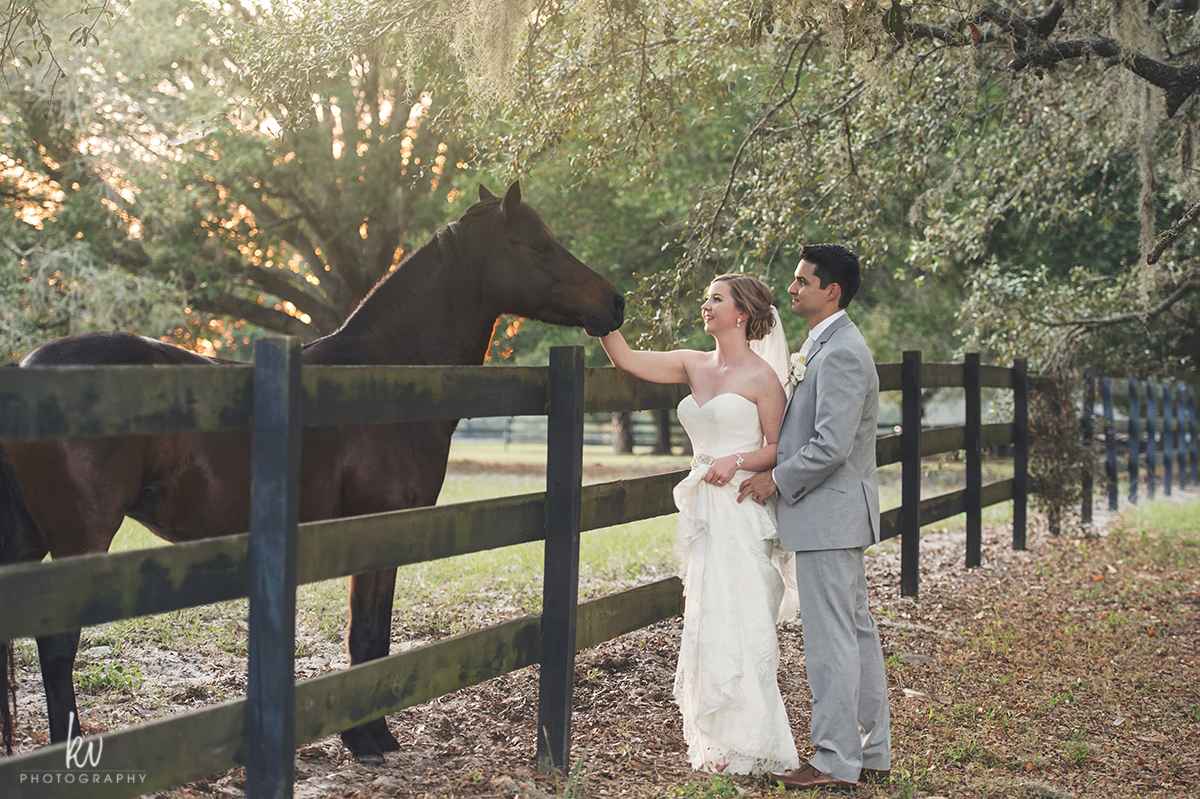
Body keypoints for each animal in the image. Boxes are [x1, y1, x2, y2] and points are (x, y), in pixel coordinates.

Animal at [2, 183, 628, 763]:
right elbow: (367, 636)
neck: (387, 378)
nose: (616, 302)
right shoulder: (378, 528)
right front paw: (368, 740)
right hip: (80, 541)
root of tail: (26, 371)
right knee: (57, 646)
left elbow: (372, 635)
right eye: (541, 246)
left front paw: (370, 736)